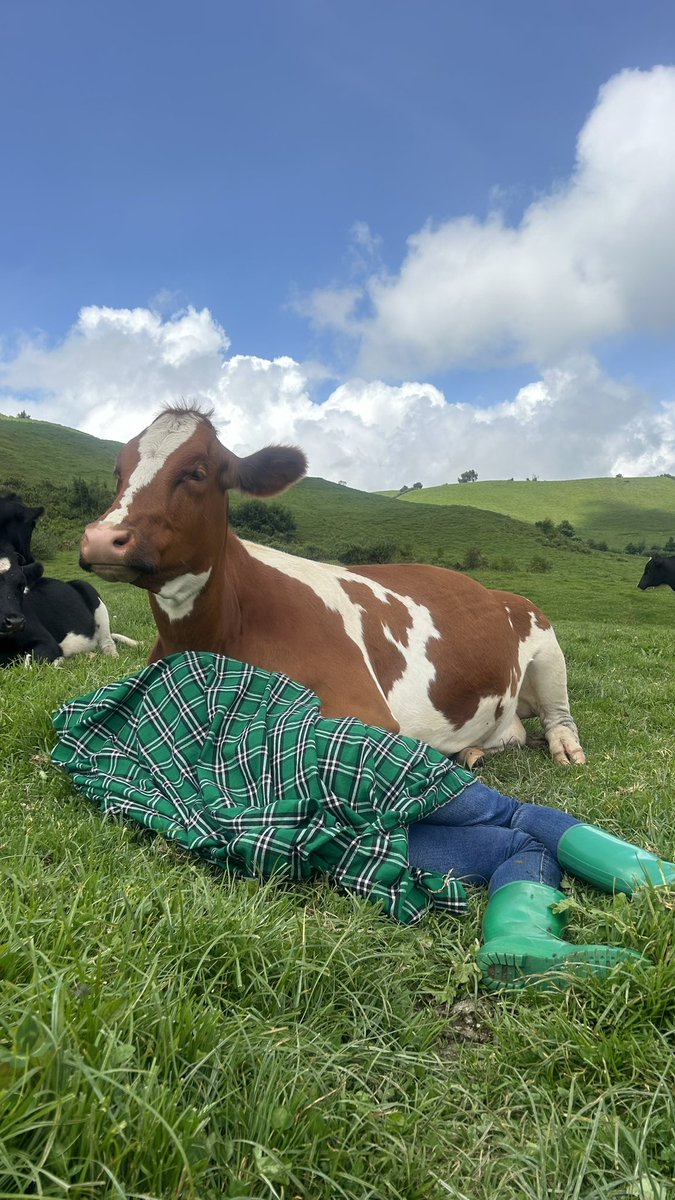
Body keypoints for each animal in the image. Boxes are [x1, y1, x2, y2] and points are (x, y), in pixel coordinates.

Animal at [0, 543, 137, 666]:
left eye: (22, 584)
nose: (15, 622)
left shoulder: (47, 642)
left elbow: (30, 665)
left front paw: (60, 660)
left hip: (91, 595)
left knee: (107, 642)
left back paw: (111, 655)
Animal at [79, 406, 585, 767]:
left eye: (198, 472)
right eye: (118, 471)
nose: (103, 538)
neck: (214, 635)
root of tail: (490, 590)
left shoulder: (364, 712)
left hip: (545, 644)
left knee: (557, 716)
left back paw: (565, 749)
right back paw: (473, 750)